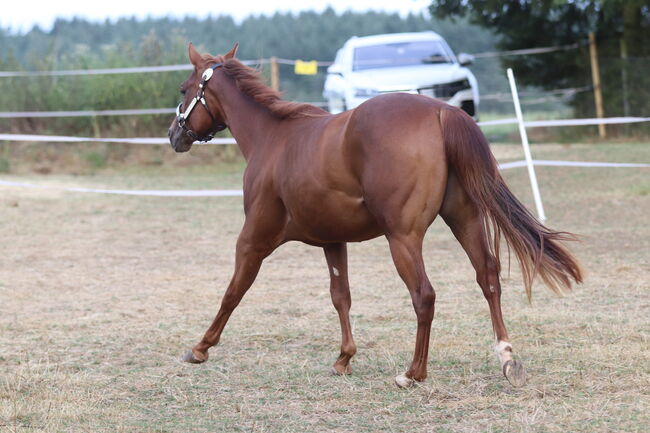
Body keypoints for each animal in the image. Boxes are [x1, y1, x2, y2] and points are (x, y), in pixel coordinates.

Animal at [167, 44, 584, 388]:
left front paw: (200, 347)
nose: (174, 135)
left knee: (424, 295)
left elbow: (233, 292)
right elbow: (341, 296)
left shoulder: (253, 239)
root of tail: (440, 111)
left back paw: (413, 373)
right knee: (489, 277)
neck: (273, 138)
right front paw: (343, 358)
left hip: (403, 237)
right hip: (464, 220)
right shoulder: (332, 240)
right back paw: (507, 359)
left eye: (185, 90)